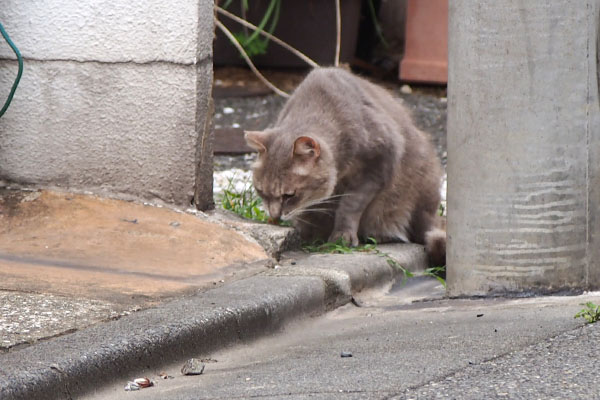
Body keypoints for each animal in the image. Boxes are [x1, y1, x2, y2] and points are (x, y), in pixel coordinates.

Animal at [244, 68, 446, 266]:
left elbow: (350, 204)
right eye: (260, 191)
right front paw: (307, 233)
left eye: (289, 195)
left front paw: (343, 236)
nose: (275, 217)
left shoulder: (379, 163)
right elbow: (313, 212)